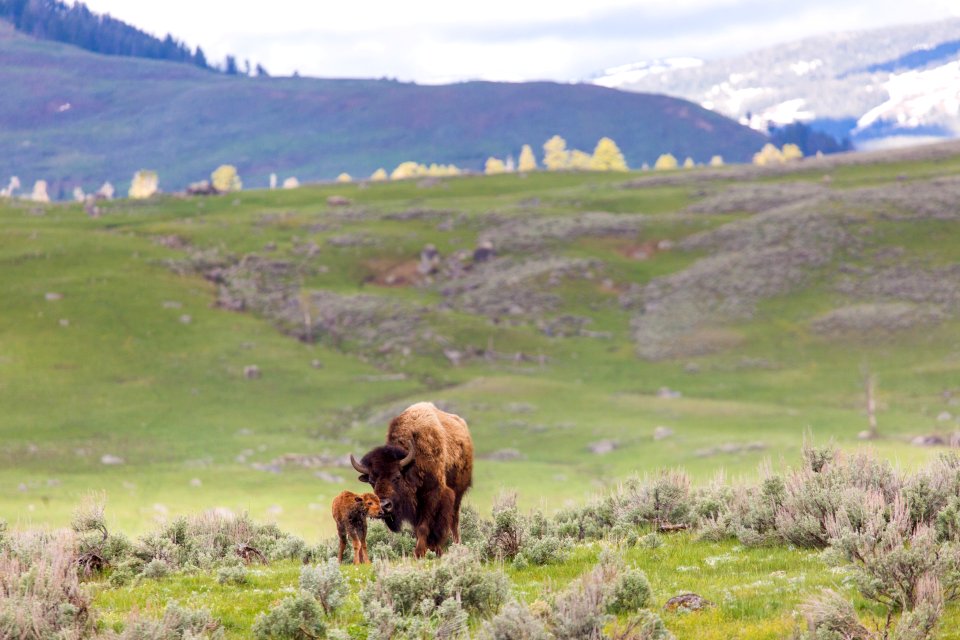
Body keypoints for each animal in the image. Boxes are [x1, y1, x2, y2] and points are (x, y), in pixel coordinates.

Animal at [350, 402, 474, 556]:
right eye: (372, 481)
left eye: (397, 477)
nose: (384, 506)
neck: (412, 463)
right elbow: (418, 528)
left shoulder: (432, 496)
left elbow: (424, 526)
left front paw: (419, 553)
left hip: (458, 493)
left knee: (454, 520)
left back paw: (456, 544)